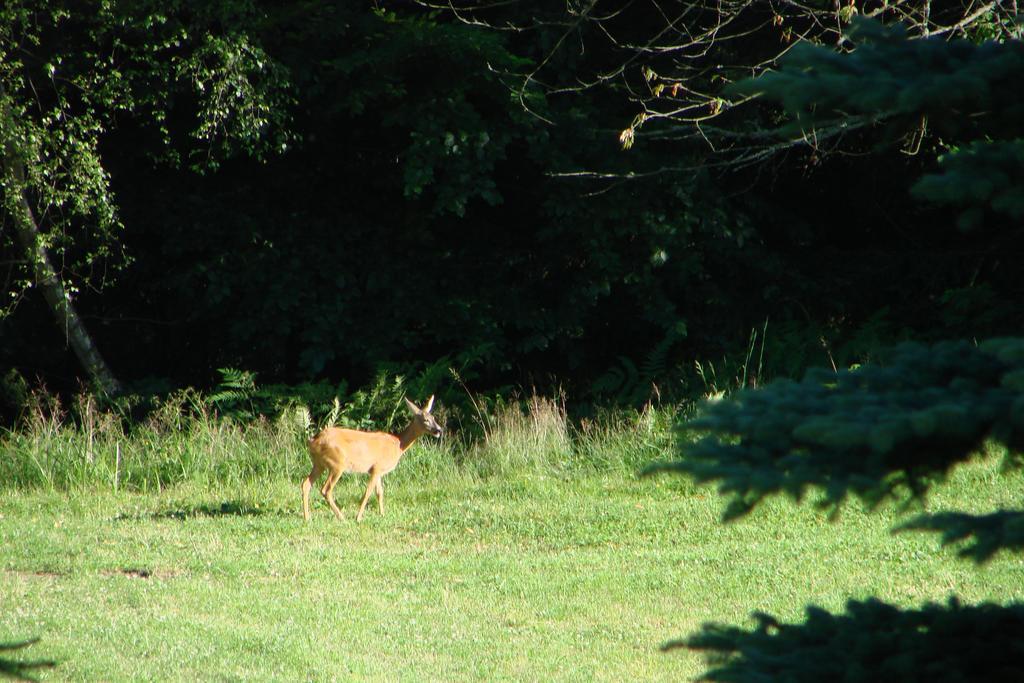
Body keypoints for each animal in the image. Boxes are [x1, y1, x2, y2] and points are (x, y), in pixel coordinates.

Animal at [296, 395, 440, 524]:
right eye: (426, 420)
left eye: (433, 418)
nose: (439, 430)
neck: (398, 445)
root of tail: (313, 441)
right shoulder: (376, 467)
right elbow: (368, 492)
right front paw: (358, 518)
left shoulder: (378, 471)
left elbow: (380, 492)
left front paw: (382, 514)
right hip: (337, 463)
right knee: (326, 489)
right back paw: (341, 518)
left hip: (319, 464)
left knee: (306, 484)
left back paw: (307, 517)